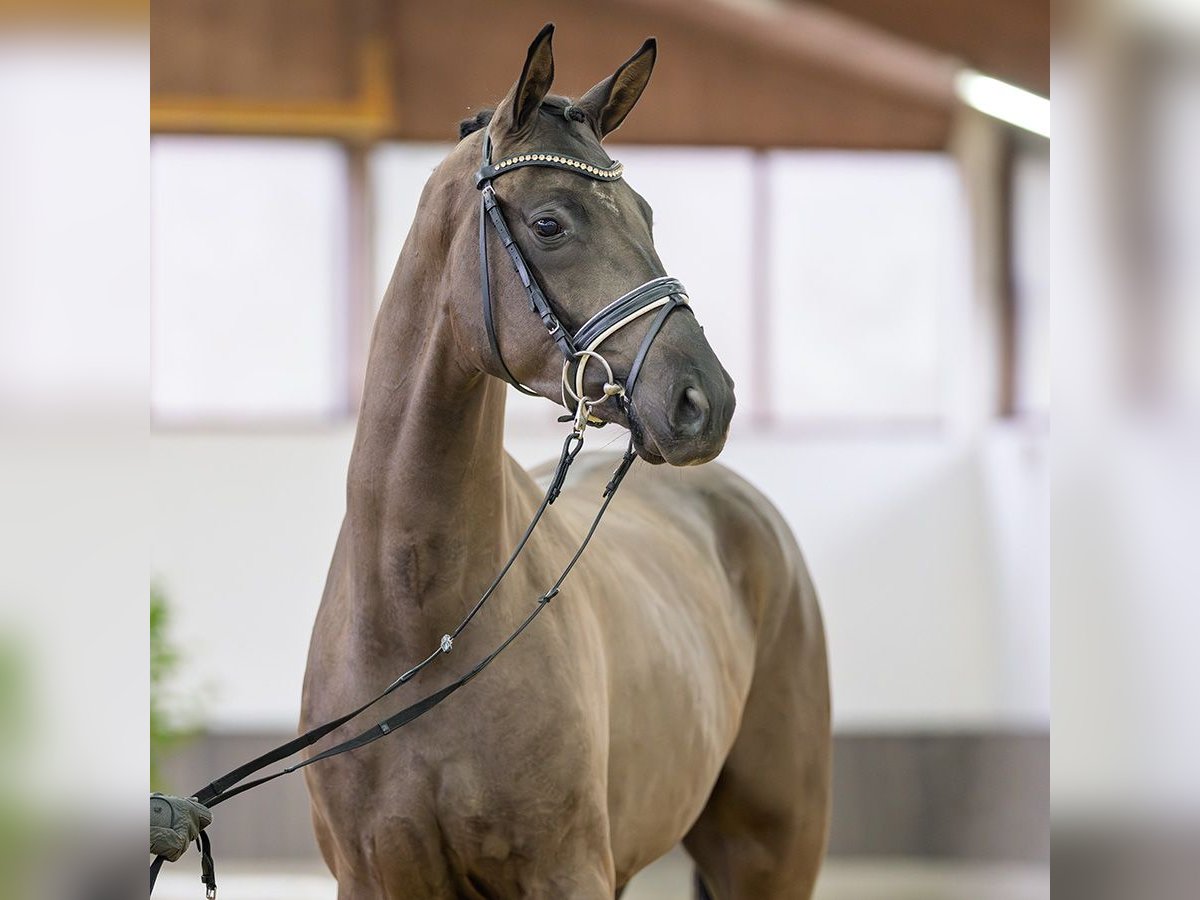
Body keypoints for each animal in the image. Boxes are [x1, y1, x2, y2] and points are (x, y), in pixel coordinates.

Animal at [300, 24, 830, 897]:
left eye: (645, 212)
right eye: (550, 223)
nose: (706, 399)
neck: (420, 628)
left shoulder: (567, 870)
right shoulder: (374, 878)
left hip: (770, 854)